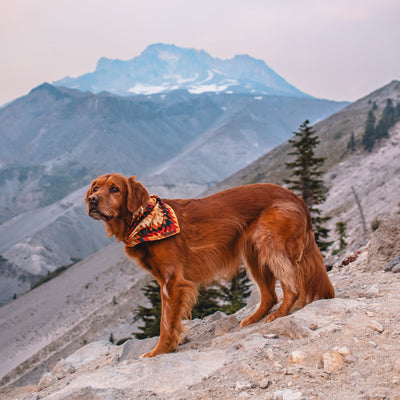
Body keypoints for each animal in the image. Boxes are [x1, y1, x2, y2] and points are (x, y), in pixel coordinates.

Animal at [85, 173, 334, 358]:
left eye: (114, 189)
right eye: (95, 188)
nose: (92, 200)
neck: (143, 220)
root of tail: (296, 197)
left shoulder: (172, 281)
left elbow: (165, 322)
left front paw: (159, 351)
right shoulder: (165, 280)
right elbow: (170, 321)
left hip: (269, 243)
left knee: (292, 286)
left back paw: (281, 313)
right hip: (253, 252)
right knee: (270, 295)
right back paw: (254, 318)